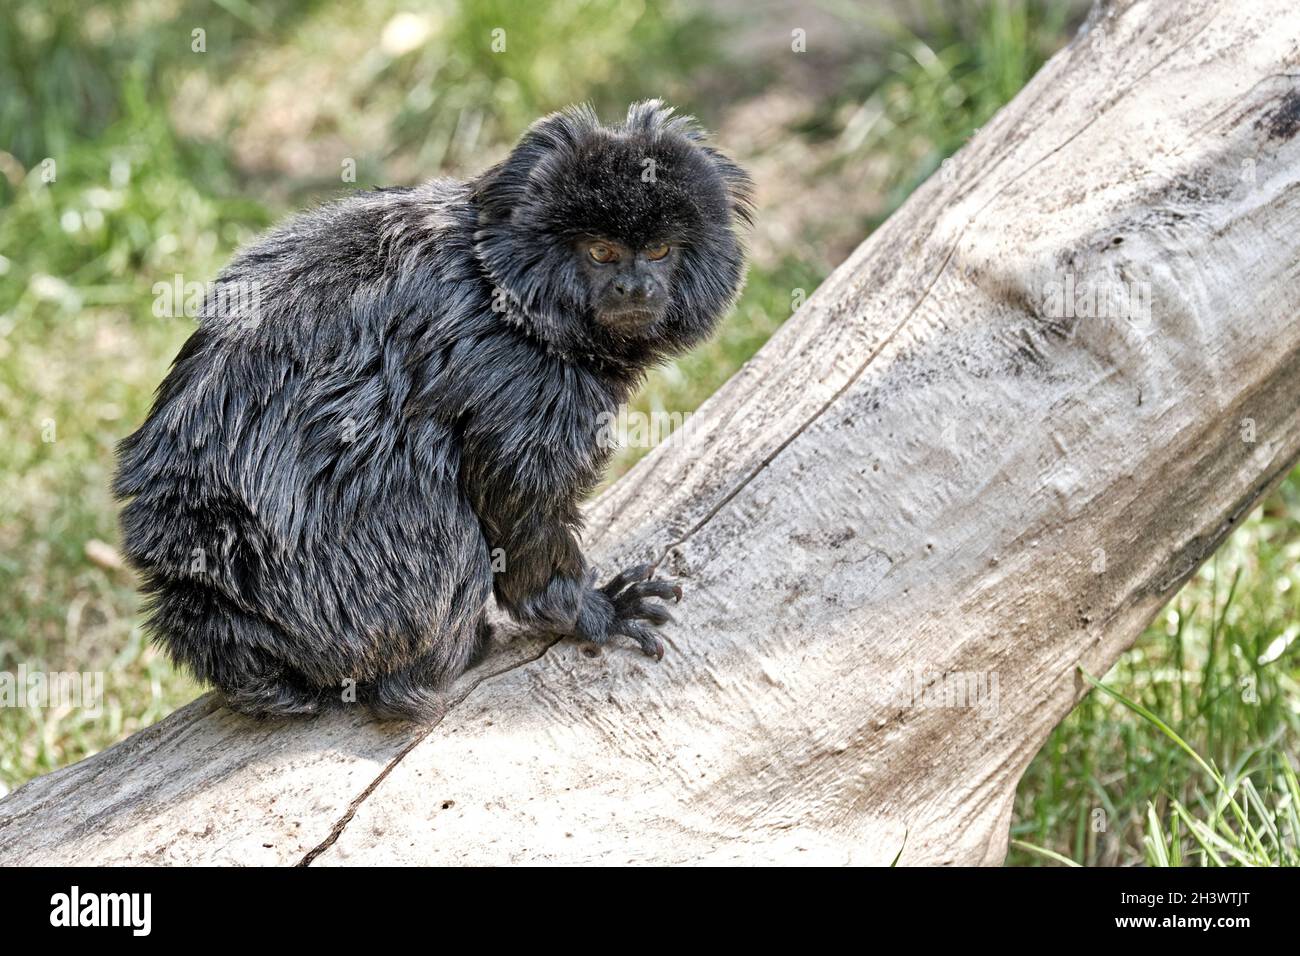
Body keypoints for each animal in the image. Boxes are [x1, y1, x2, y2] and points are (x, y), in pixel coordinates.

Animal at [119, 98, 759, 723]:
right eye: (601, 253)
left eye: (659, 251)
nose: (634, 287)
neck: (506, 291)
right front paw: (587, 611)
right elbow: (519, 514)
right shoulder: (519, 376)